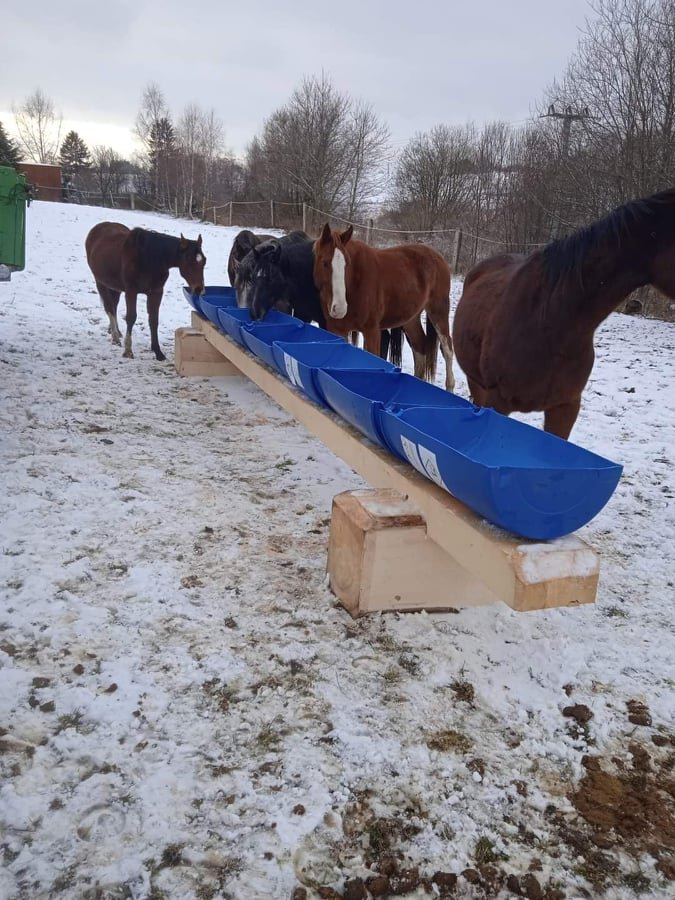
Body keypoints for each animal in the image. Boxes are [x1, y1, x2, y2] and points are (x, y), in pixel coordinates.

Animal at [312, 223, 454, 388]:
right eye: (324, 263)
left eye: (347, 264)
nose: (340, 309)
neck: (355, 283)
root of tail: (438, 257)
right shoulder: (337, 330)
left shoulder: (372, 331)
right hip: (411, 319)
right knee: (420, 346)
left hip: (438, 311)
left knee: (447, 349)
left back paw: (450, 386)